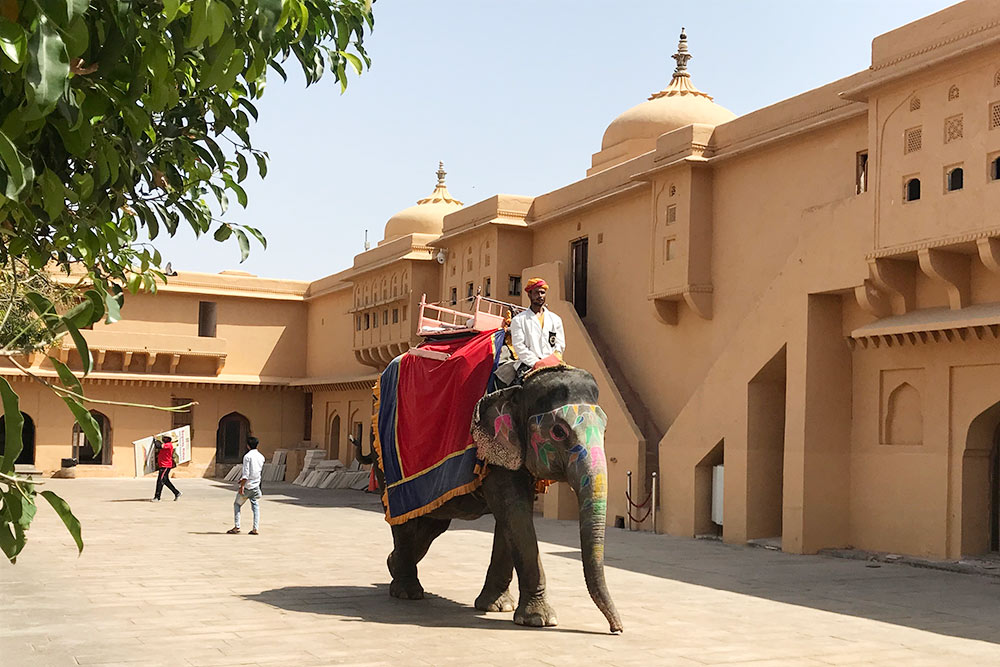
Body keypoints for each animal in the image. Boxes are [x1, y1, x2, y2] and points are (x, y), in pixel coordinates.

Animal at [360, 368, 624, 636]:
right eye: (558, 432)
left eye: (605, 430)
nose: (617, 629)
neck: (523, 384)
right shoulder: (493, 450)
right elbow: (515, 513)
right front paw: (539, 620)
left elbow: (510, 519)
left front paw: (498, 607)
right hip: (383, 457)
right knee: (404, 523)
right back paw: (407, 592)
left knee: (432, 525)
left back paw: (392, 565)